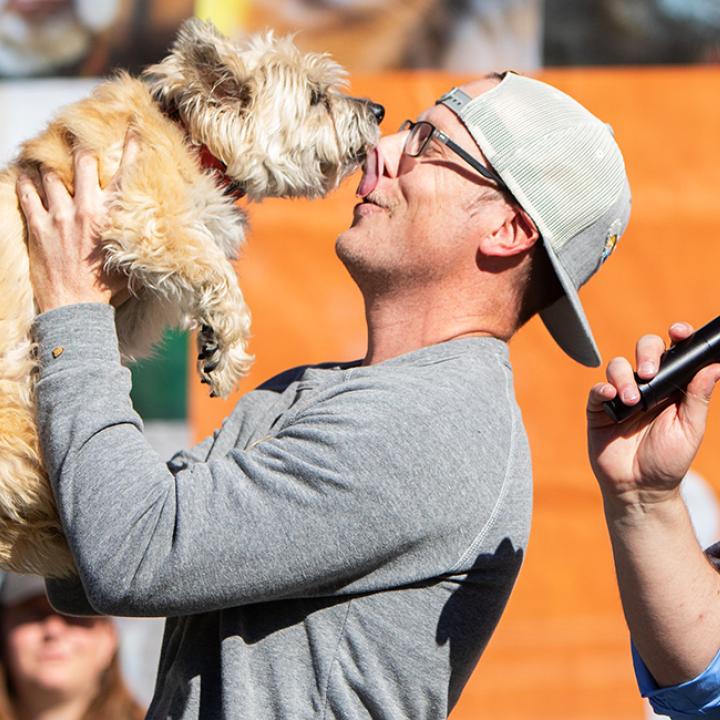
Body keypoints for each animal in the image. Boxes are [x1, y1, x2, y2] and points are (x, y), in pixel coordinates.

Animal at [0, 18, 386, 580]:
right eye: (316, 97)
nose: (379, 111)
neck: (192, 138)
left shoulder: (134, 289)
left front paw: (212, 342)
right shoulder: (147, 219)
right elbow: (219, 273)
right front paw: (227, 354)